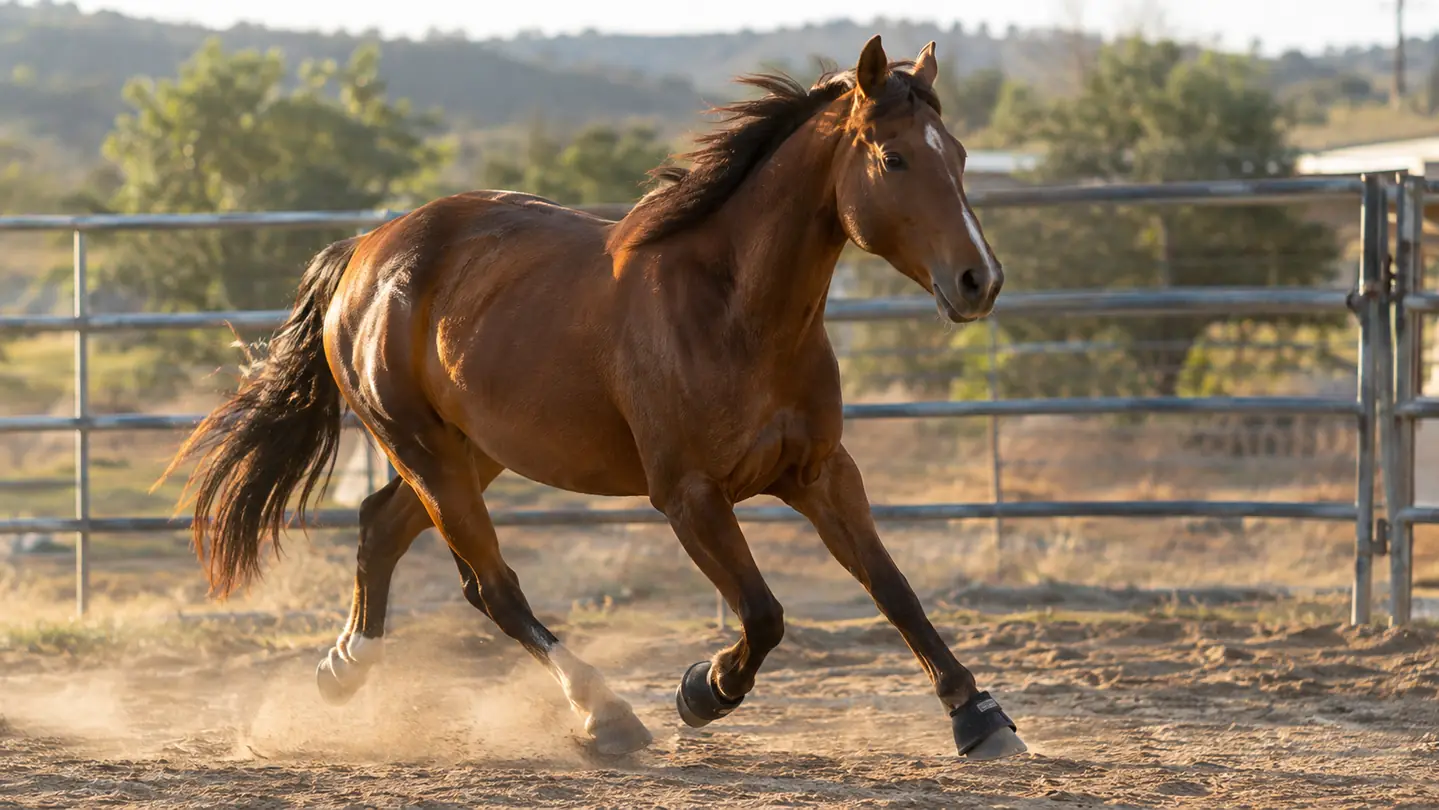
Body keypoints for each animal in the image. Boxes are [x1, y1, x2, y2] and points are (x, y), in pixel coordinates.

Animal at [160, 35, 1025, 761]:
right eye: (893, 158)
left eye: (958, 154)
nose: (979, 280)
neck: (733, 310)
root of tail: (365, 253)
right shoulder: (688, 495)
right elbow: (762, 613)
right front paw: (702, 691)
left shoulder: (821, 472)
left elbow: (893, 589)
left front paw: (979, 718)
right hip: (423, 449)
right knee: (493, 588)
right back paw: (606, 715)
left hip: (472, 451)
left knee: (383, 529)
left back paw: (343, 669)